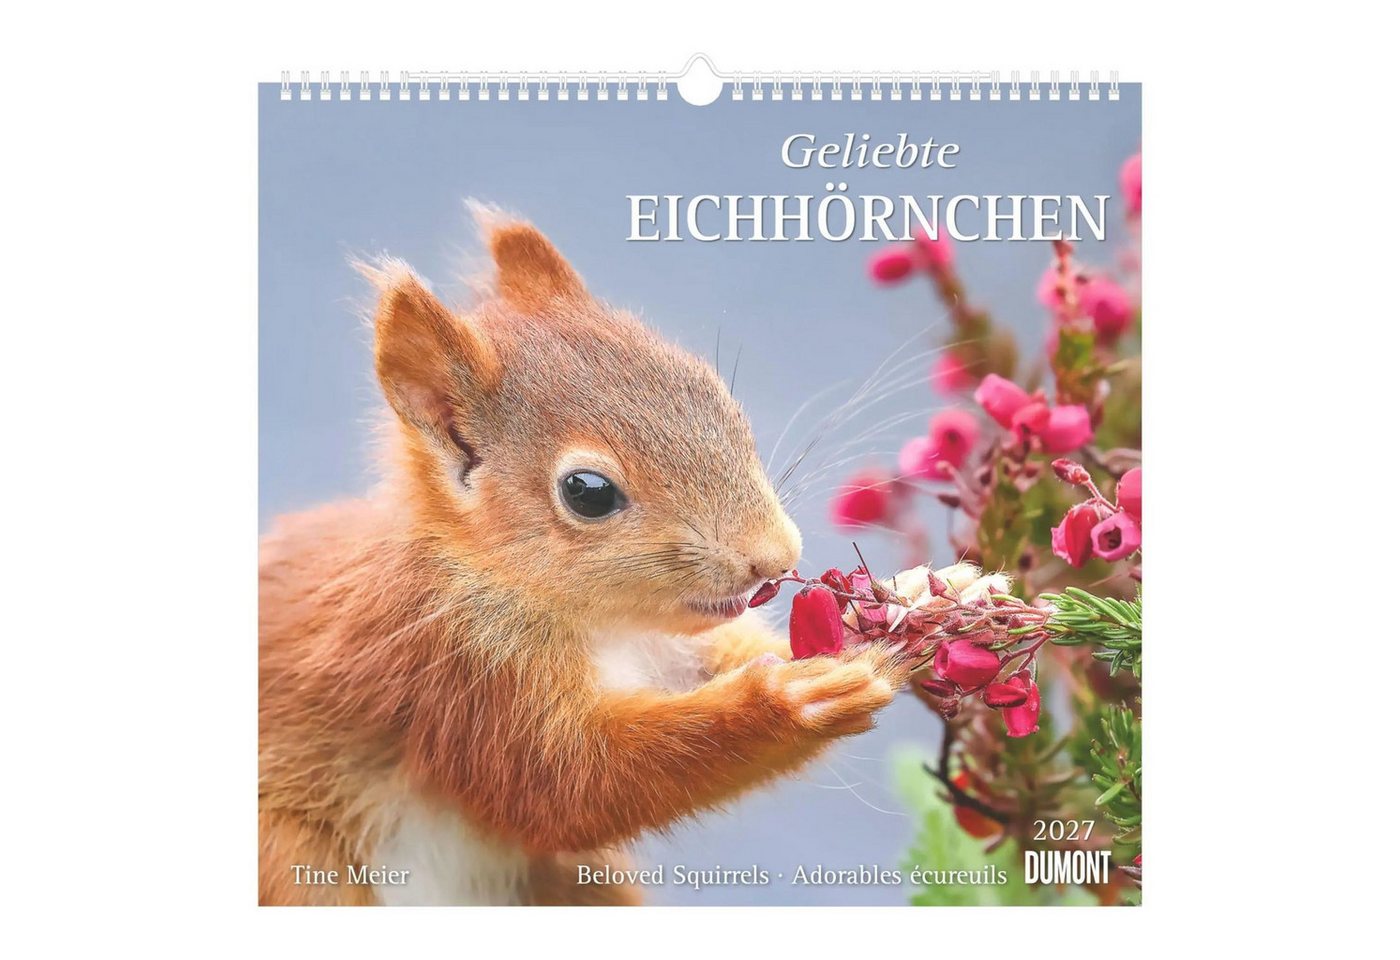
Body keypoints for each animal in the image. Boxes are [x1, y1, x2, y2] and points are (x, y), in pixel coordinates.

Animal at [259, 214, 907, 905]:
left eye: (717, 397)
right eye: (587, 493)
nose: (776, 559)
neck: (607, 626)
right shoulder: (456, 673)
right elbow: (568, 787)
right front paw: (793, 697)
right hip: (296, 862)